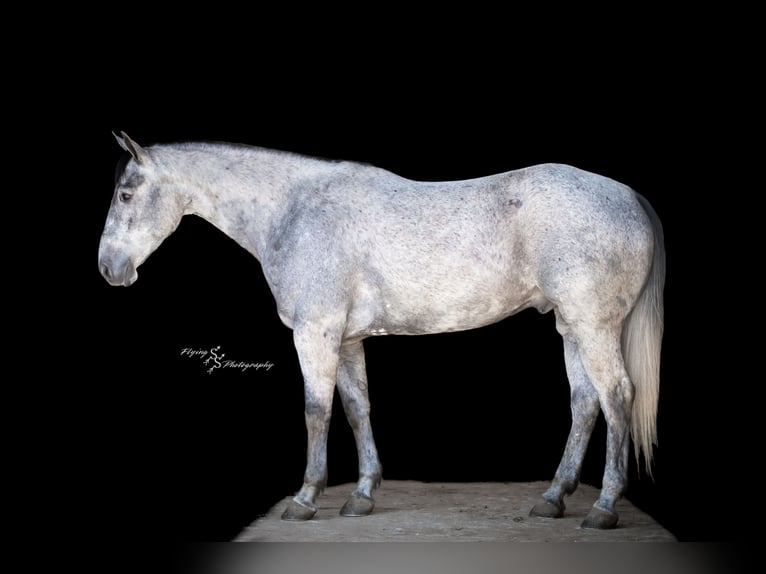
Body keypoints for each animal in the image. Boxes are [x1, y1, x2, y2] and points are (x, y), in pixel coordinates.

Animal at [98, 132, 664, 530]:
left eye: (126, 194)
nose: (109, 269)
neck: (295, 210)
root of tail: (628, 195)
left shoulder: (316, 333)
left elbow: (316, 410)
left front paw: (306, 498)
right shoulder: (347, 339)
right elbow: (355, 408)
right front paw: (362, 494)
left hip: (593, 326)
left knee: (617, 396)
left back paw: (604, 507)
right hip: (570, 328)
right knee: (585, 403)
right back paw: (553, 498)